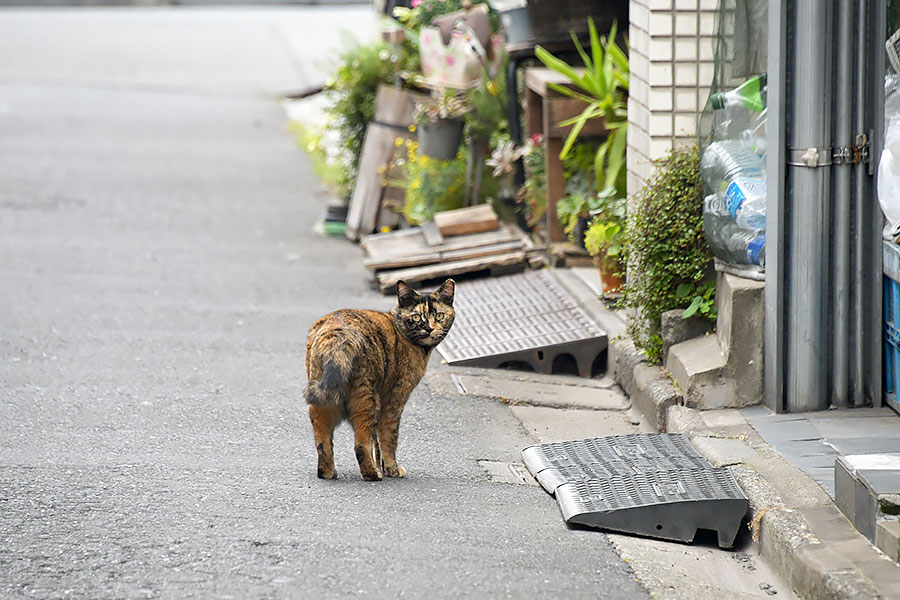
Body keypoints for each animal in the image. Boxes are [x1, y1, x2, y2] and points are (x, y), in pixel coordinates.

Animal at [304, 278, 458, 480]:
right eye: (417, 317)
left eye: (439, 316)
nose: (429, 328)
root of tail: (335, 332)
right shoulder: (394, 400)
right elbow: (388, 437)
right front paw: (392, 469)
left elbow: (376, 441)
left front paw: (384, 467)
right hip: (366, 400)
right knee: (361, 444)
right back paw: (372, 474)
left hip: (321, 401)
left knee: (323, 442)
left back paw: (327, 472)